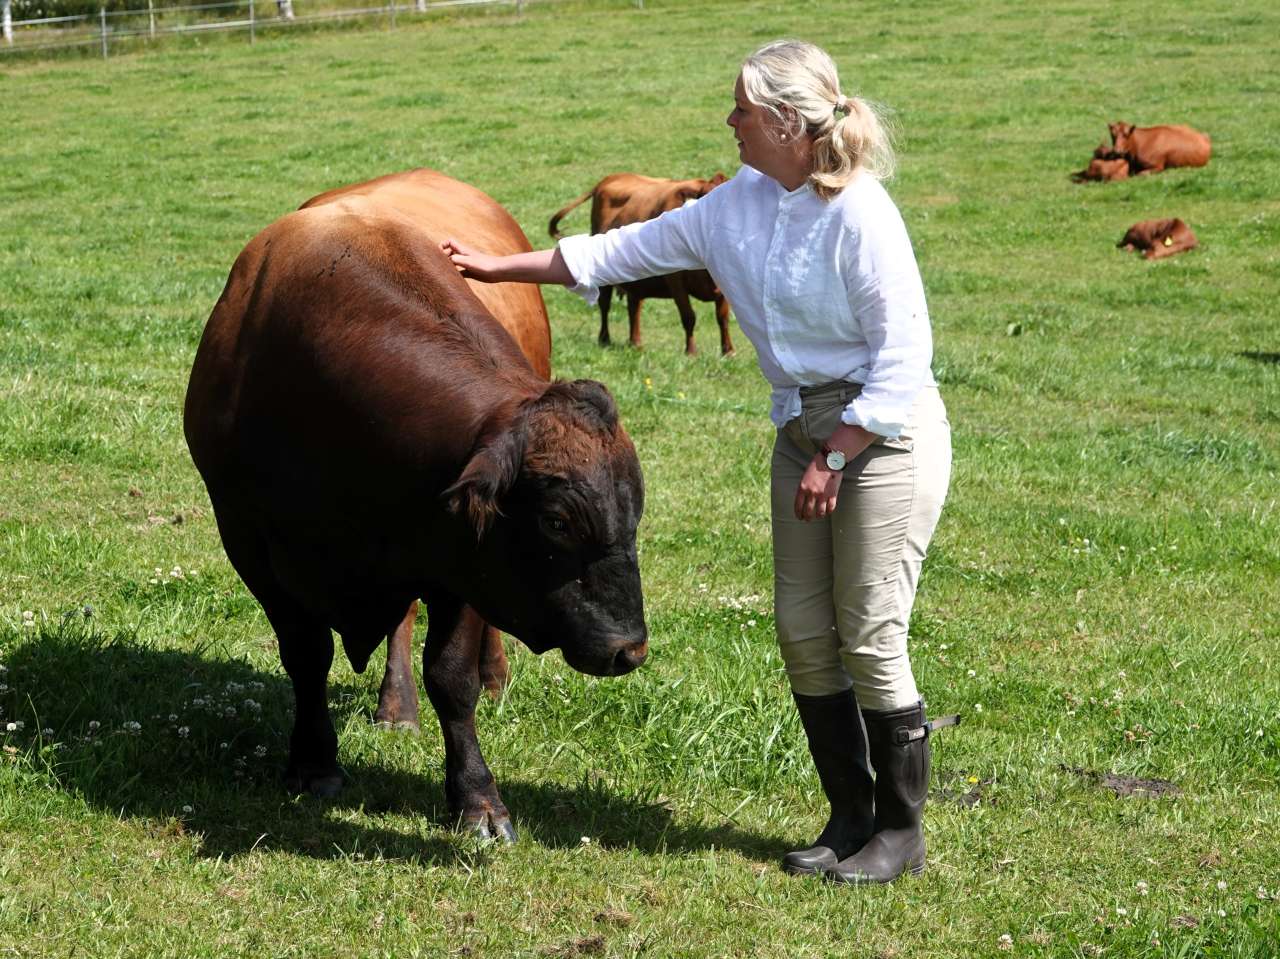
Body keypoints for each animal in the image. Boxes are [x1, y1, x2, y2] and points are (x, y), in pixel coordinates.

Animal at [547, 171, 737, 355]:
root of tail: (610, 178)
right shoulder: (676, 282)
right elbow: (689, 316)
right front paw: (691, 352)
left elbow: (723, 318)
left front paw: (728, 351)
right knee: (605, 304)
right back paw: (605, 339)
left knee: (634, 307)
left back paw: (635, 343)